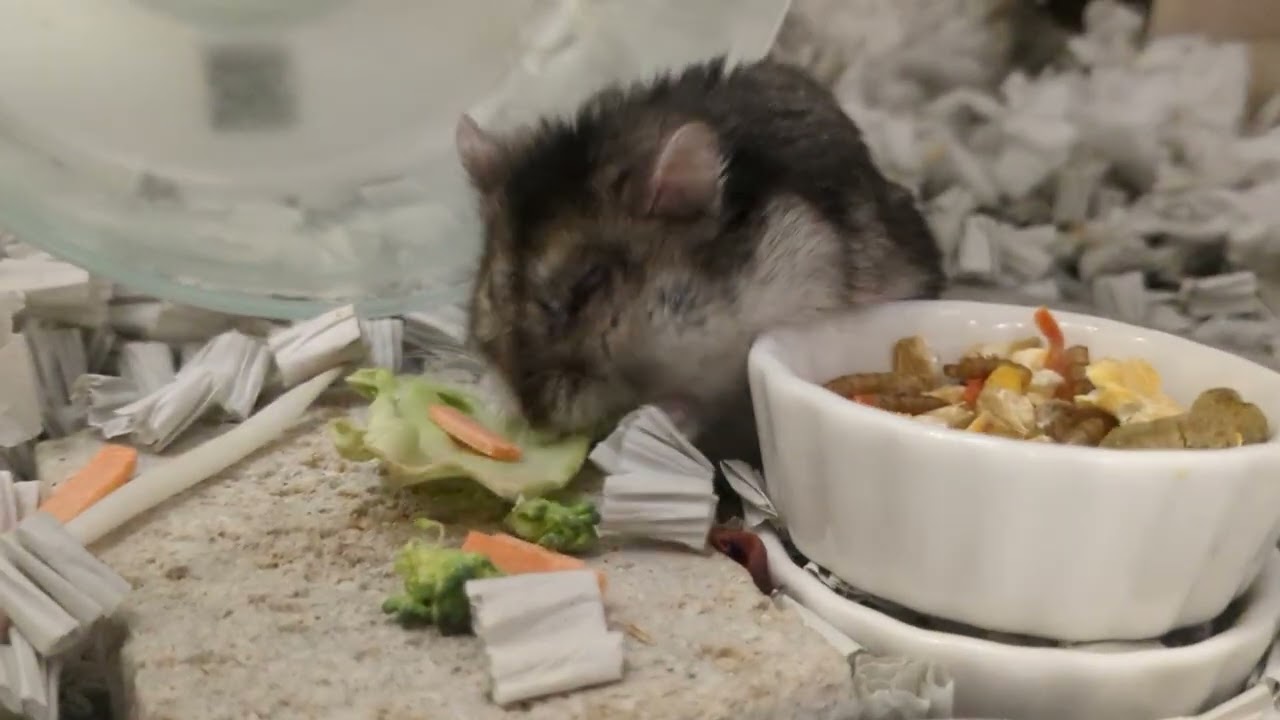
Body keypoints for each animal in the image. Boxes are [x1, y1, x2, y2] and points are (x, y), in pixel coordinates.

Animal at [455, 56, 945, 462]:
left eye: (590, 285)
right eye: (494, 288)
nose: (534, 418)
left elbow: (706, 402)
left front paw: (652, 417)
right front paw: (493, 401)